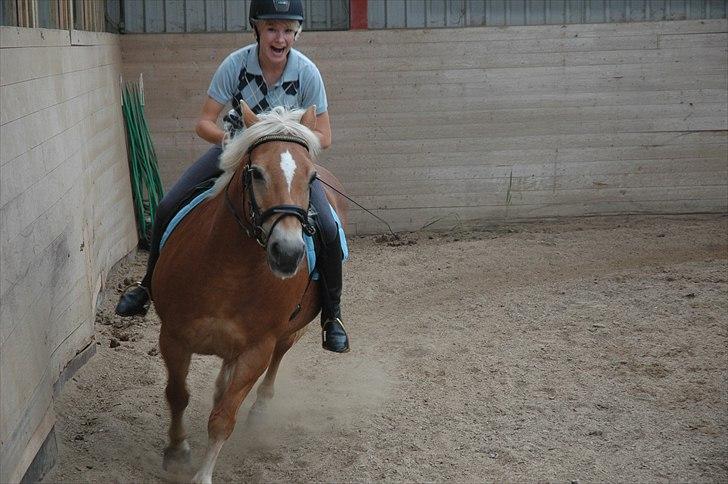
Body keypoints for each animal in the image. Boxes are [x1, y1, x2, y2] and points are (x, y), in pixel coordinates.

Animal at [151, 103, 346, 484]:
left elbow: (223, 419)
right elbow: (177, 395)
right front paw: (177, 451)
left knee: (277, 359)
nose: (288, 252)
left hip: (289, 331)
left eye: (310, 178)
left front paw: (203, 475)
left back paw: (260, 407)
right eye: (255, 173)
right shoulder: (174, 337)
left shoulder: (257, 349)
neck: (230, 272)